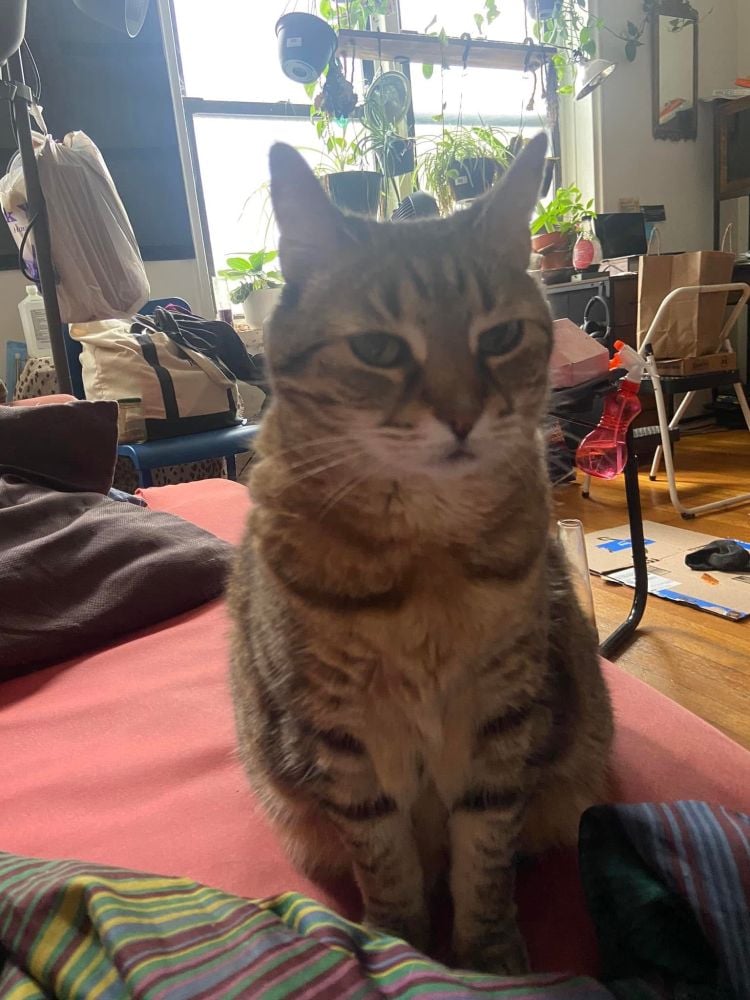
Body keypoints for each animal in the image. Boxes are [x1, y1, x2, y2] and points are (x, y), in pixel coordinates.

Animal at [227, 133, 614, 975]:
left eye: (499, 337)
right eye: (378, 349)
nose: (464, 416)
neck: (428, 561)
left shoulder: (502, 719)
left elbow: (485, 854)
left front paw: (488, 954)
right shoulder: (340, 741)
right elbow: (386, 859)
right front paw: (399, 943)